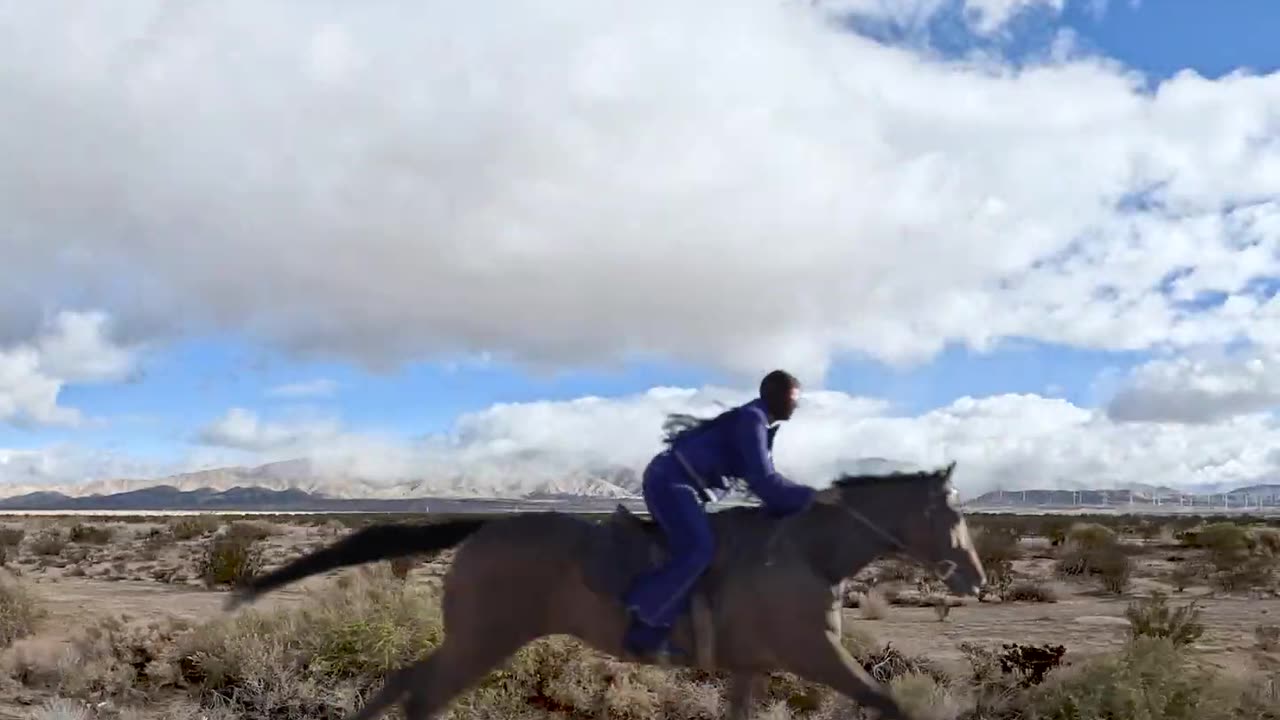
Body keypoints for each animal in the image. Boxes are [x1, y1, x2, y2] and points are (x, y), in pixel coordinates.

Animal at [227, 461, 977, 712]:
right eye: (954, 513)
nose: (972, 576)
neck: (806, 553)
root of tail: (485, 526)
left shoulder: (752, 667)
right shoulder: (816, 656)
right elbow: (891, 705)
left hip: (473, 639)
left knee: (402, 684)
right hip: (484, 641)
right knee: (421, 696)